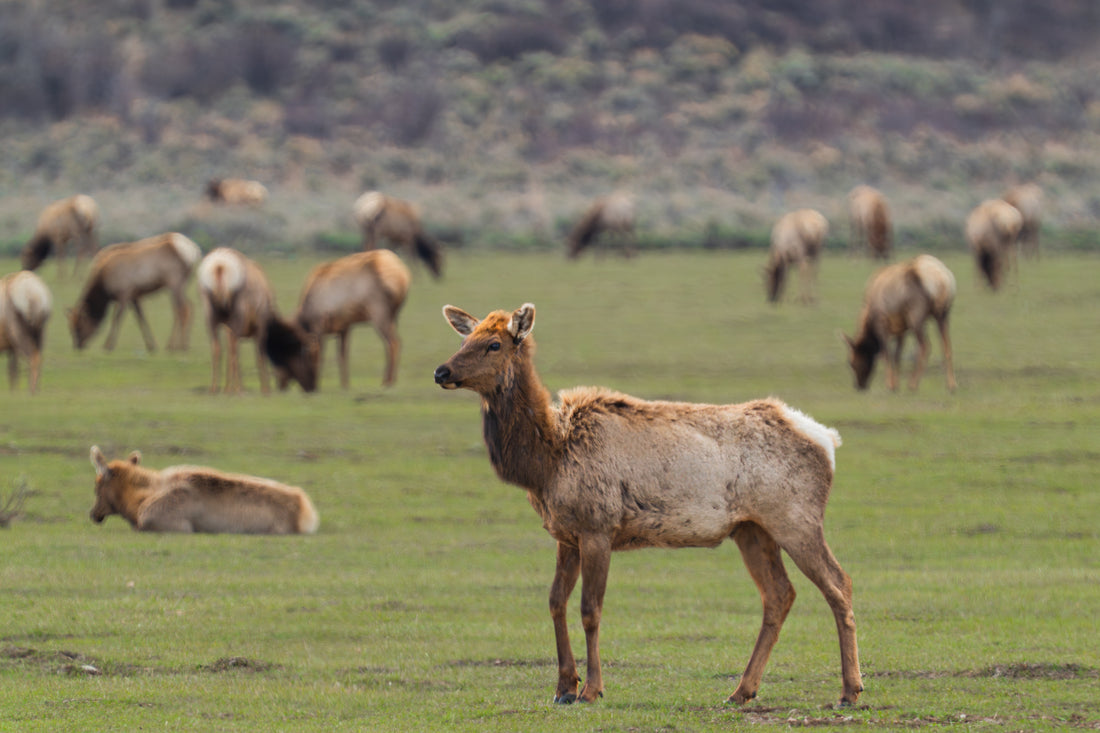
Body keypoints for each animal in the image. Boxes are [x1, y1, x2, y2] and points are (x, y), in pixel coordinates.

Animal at [68, 233, 202, 353]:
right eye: (70, 328)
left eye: (79, 326)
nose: (77, 346)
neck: (103, 284)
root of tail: (194, 251)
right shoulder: (134, 296)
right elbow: (141, 318)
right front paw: (151, 346)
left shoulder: (124, 293)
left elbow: (116, 318)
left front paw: (108, 345)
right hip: (180, 284)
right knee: (187, 307)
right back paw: (177, 345)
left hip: (174, 282)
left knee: (182, 309)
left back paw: (179, 346)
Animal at [196, 247, 317, 394]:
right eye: (309, 356)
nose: (312, 387)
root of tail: (220, 266)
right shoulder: (261, 324)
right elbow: (260, 356)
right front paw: (265, 389)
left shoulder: (229, 329)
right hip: (237, 315)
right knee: (234, 349)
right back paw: (236, 389)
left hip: (210, 315)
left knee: (217, 348)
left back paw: (215, 389)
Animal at [276, 250, 410, 390]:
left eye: (283, 354)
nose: (280, 385)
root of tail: (403, 275)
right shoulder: (344, 326)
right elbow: (342, 356)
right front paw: (345, 385)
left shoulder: (320, 324)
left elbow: (319, 356)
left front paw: (317, 384)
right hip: (394, 315)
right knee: (391, 343)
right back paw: (389, 380)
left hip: (379, 312)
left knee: (394, 342)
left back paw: (388, 382)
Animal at [433, 302, 862, 708]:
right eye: (465, 338)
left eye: (494, 344)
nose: (441, 371)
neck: (546, 462)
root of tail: (828, 441)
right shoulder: (565, 534)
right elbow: (556, 602)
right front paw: (563, 688)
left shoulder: (598, 526)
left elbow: (590, 609)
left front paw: (591, 690)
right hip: (752, 529)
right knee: (779, 594)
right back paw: (742, 690)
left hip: (796, 518)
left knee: (838, 582)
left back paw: (850, 690)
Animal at [842, 254, 956, 392]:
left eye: (851, 362)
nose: (859, 386)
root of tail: (941, 281)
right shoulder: (901, 328)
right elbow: (897, 356)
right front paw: (896, 384)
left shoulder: (882, 323)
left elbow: (886, 354)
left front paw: (890, 385)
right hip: (943, 315)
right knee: (947, 346)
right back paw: (951, 385)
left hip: (916, 316)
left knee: (925, 346)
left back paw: (913, 385)